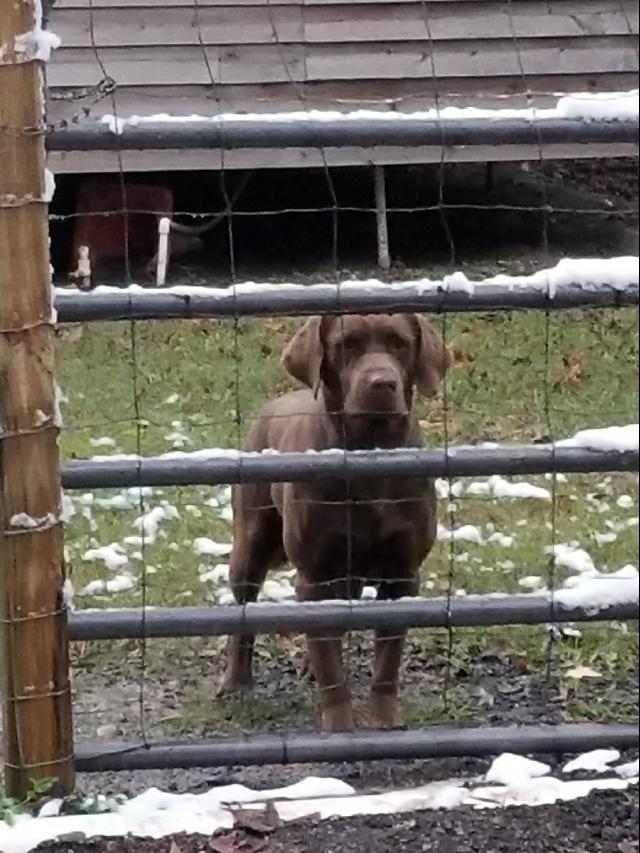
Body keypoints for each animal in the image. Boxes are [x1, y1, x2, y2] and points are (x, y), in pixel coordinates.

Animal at [220, 312, 450, 732]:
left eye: (400, 343)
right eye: (347, 344)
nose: (382, 383)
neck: (368, 454)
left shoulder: (402, 573)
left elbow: (386, 660)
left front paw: (384, 718)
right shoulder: (314, 575)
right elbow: (329, 661)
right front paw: (339, 723)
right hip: (251, 542)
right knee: (244, 611)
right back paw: (236, 680)